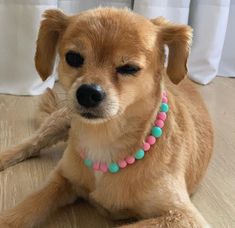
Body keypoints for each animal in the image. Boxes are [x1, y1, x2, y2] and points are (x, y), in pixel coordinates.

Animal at [0, 7, 213, 228]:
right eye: (73, 58)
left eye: (129, 68)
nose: (87, 93)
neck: (103, 138)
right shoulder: (61, 178)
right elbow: (29, 204)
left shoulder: (184, 217)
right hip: (61, 119)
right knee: (31, 143)